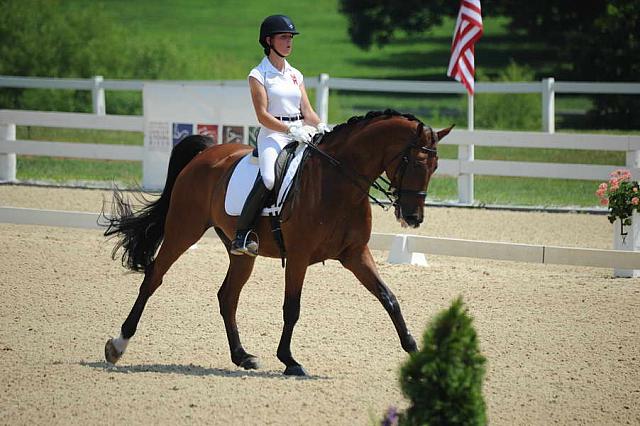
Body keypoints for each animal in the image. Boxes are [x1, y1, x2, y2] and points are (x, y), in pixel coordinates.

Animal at [102, 110, 452, 376]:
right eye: (416, 163)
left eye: (435, 167)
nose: (414, 218)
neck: (337, 182)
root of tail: (206, 153)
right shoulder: (298, 257)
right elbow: (292, 308)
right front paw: (289, 360)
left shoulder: (355, 254)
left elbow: (388, 298)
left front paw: (414, 349)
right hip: (182, 231)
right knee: (153, 278)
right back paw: (118, 345)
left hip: (241, 252)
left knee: (227, 296)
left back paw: (242, 356)